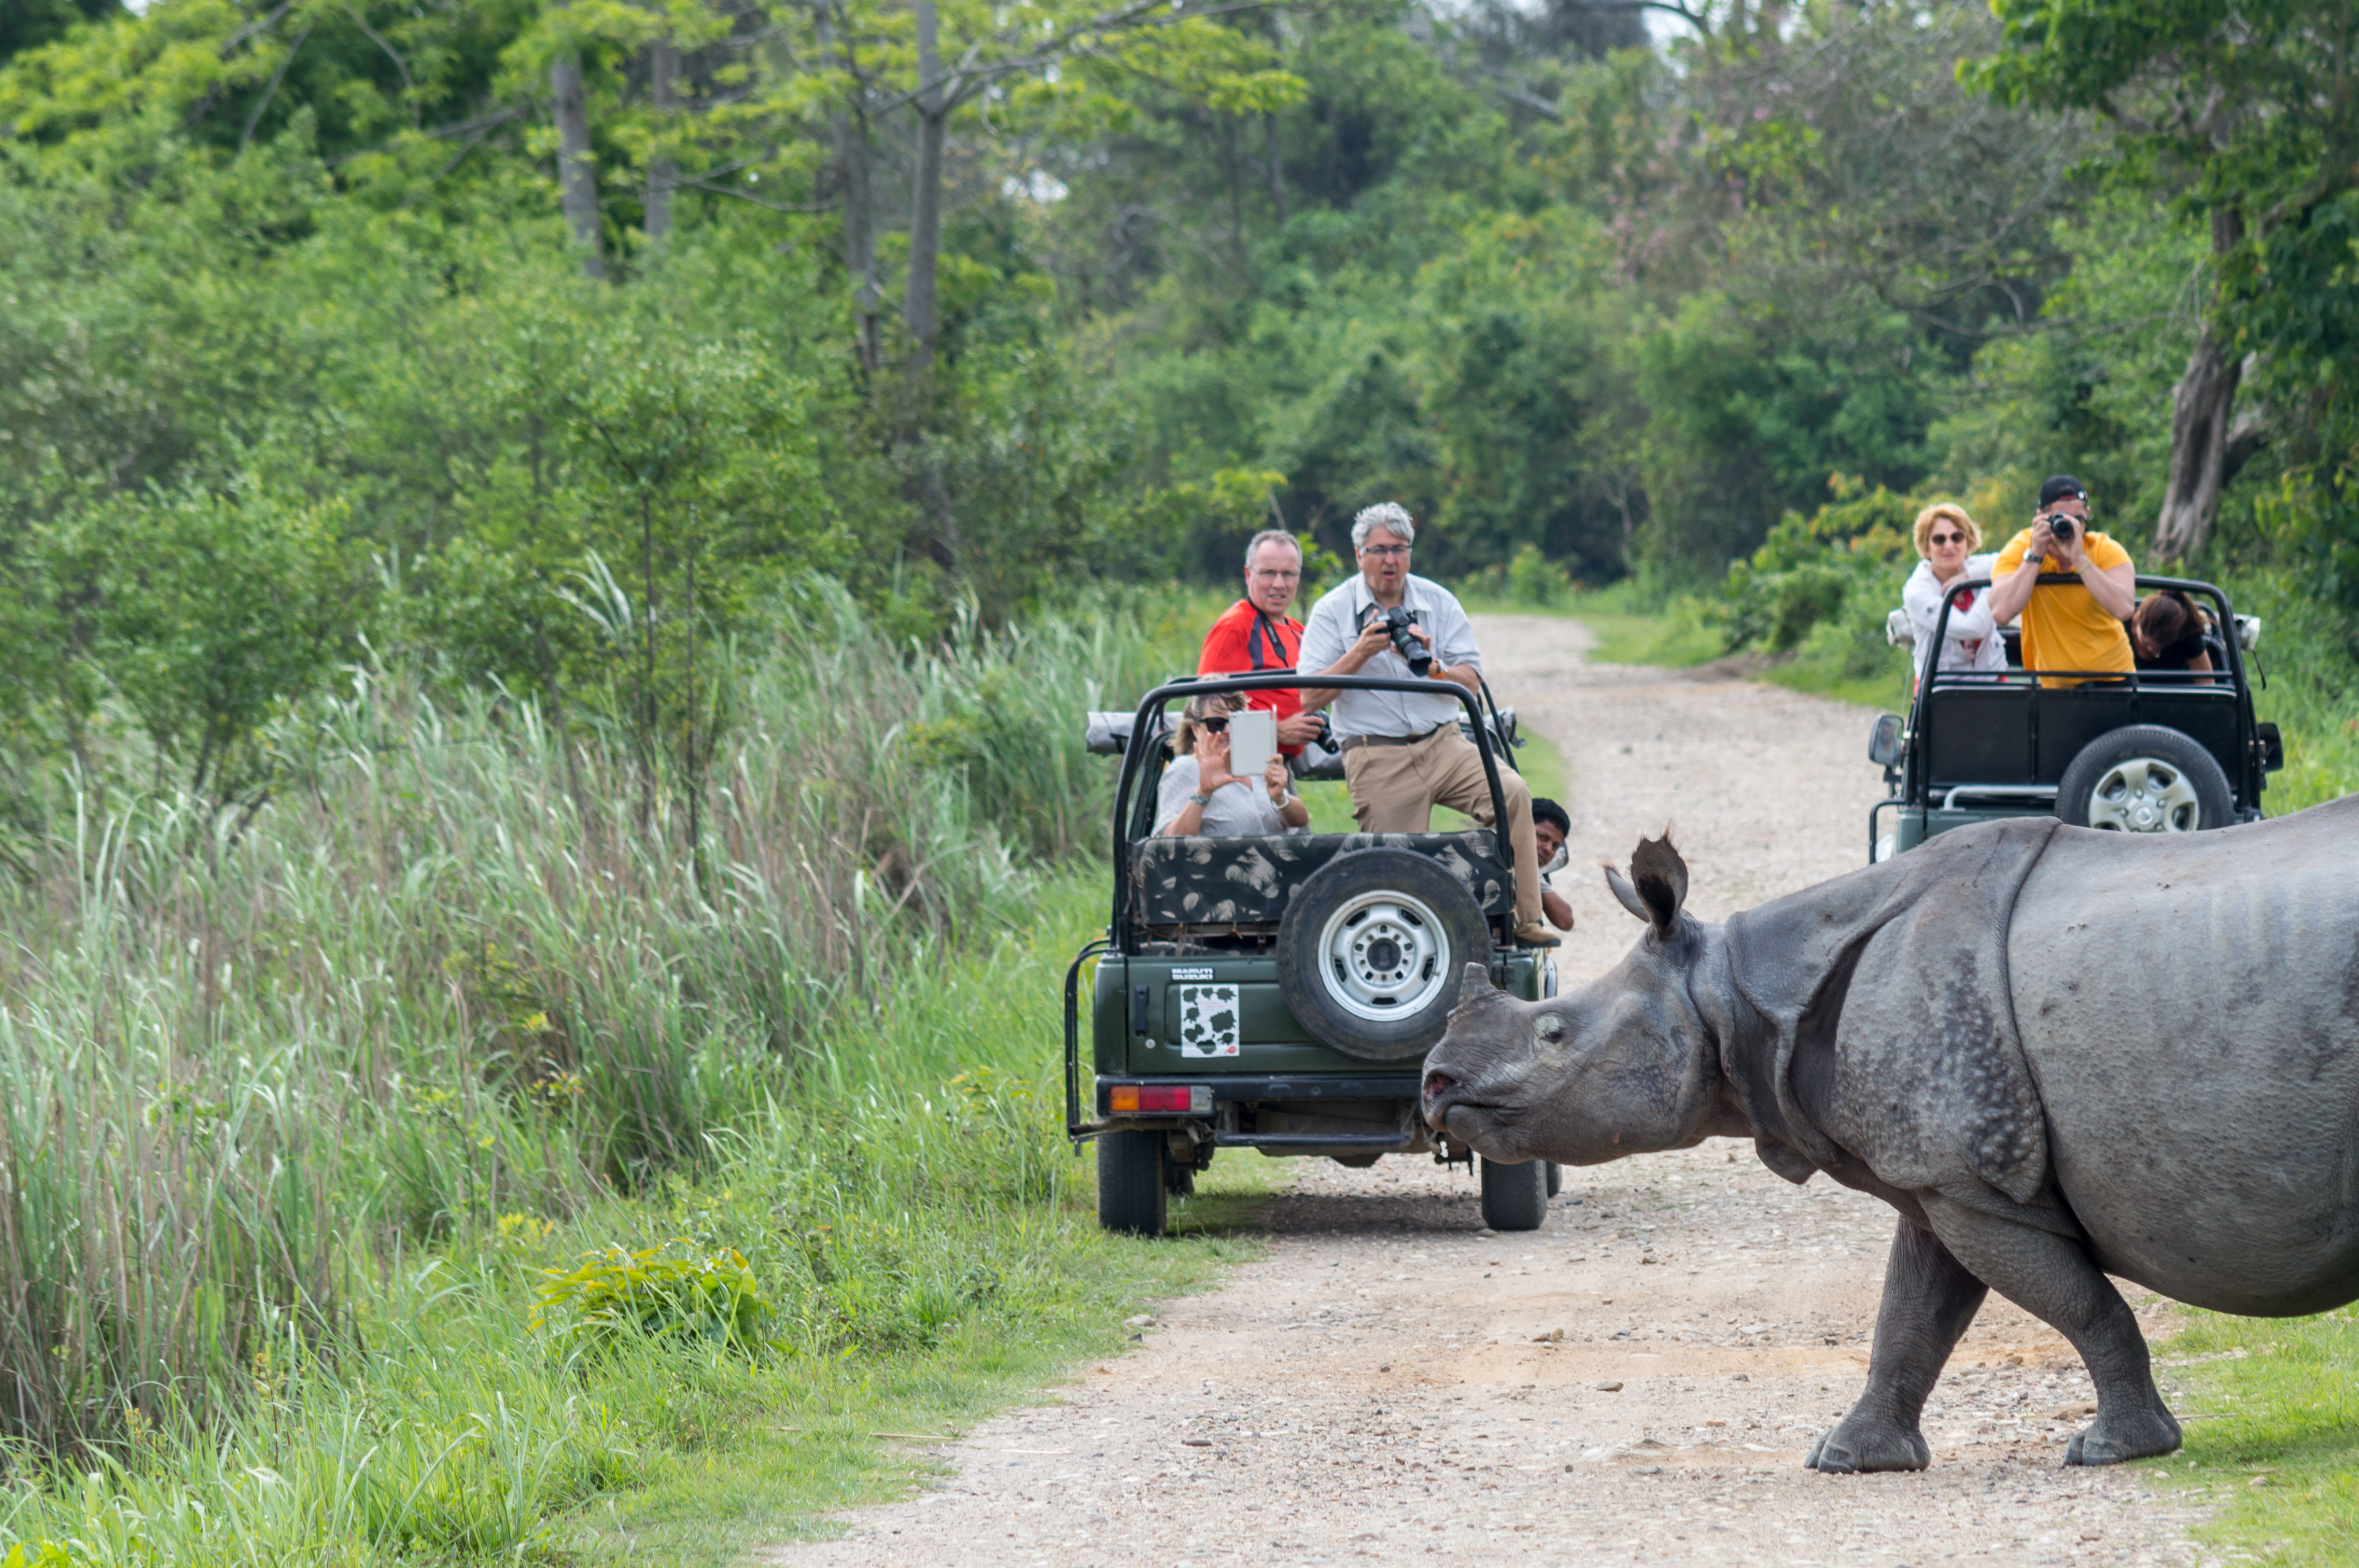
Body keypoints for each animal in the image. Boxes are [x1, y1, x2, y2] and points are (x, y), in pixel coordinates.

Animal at [1420, 795, 2359, 1472]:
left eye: (1554, 1032)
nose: (1436, 1085)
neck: (1730, 995)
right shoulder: (1939, 1176)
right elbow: (1910, 1313)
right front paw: (1848, 1459)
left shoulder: (1974, 1180)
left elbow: (2081, 1304)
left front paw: (2114, 1452)